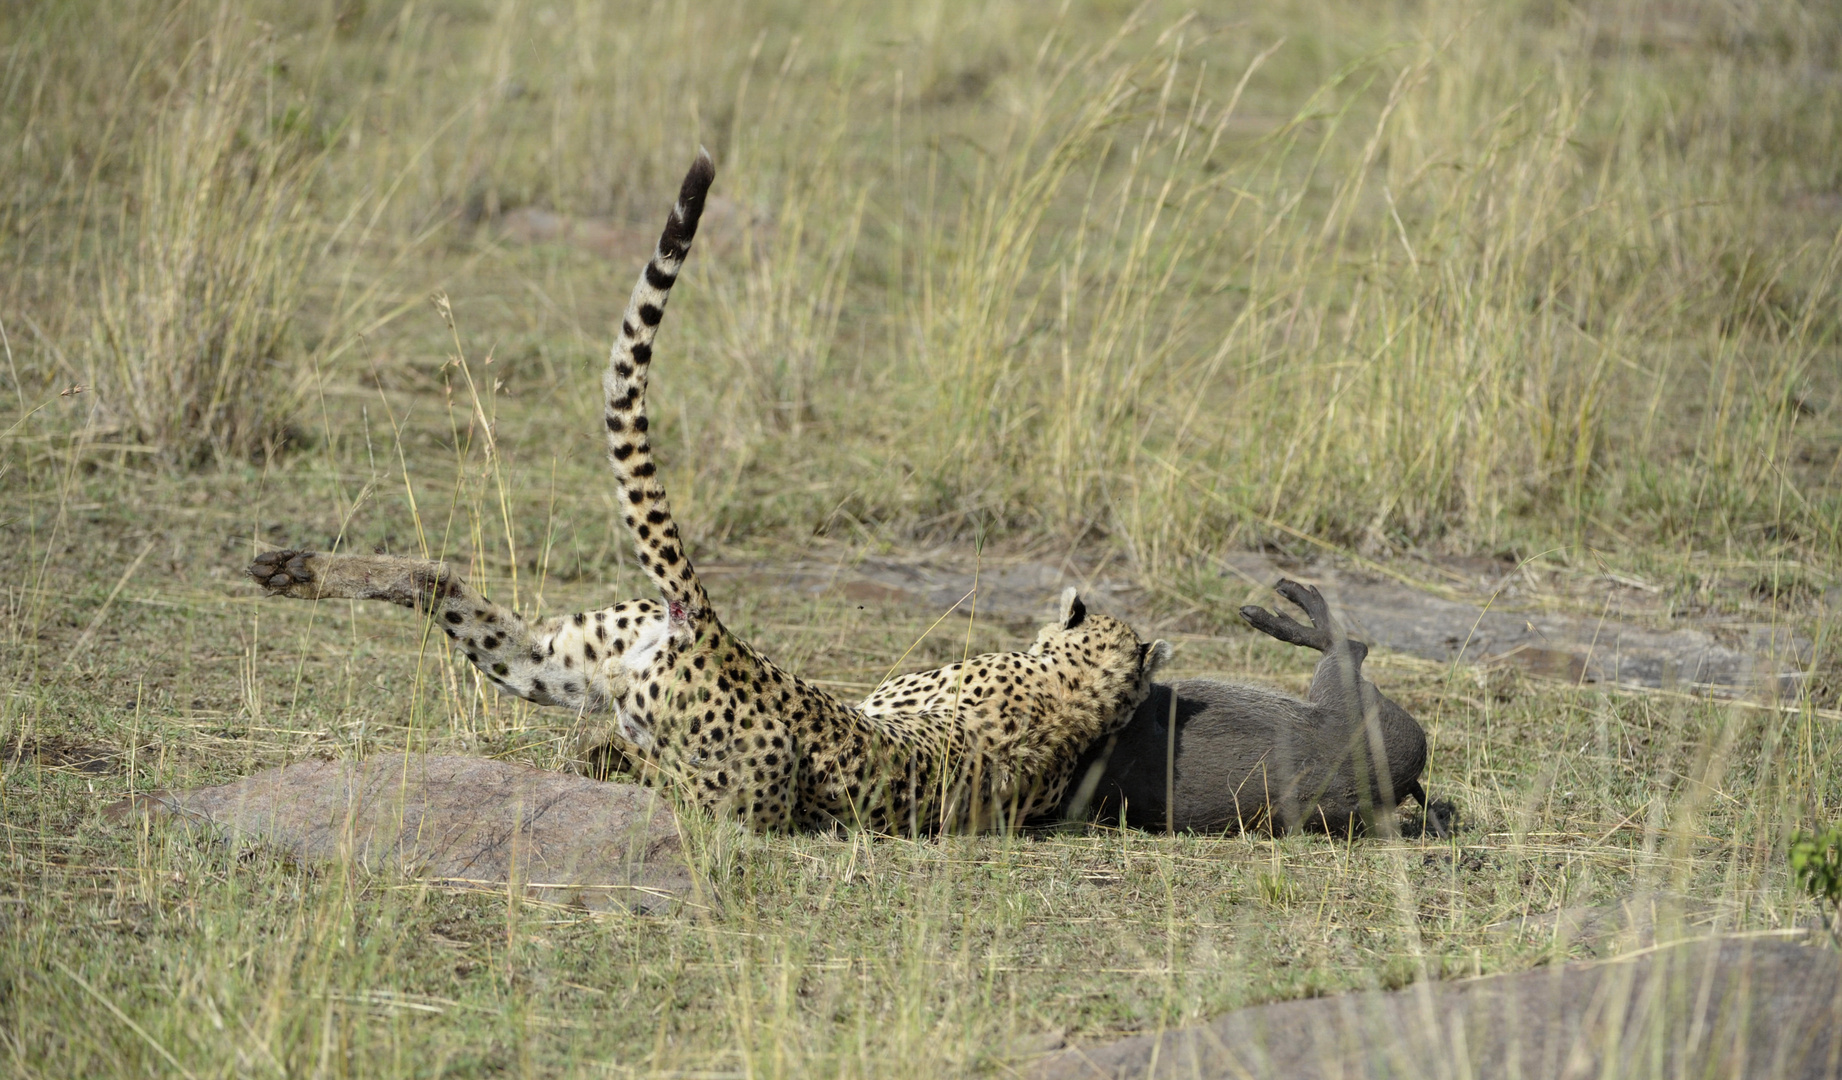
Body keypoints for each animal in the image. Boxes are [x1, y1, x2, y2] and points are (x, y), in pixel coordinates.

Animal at [248, 144, 1164, 833]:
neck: (1075, 700)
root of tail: (719, 632)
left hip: (636, 718)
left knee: (657, 767)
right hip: (566, 664)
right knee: (446, 583)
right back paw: (292, 570)